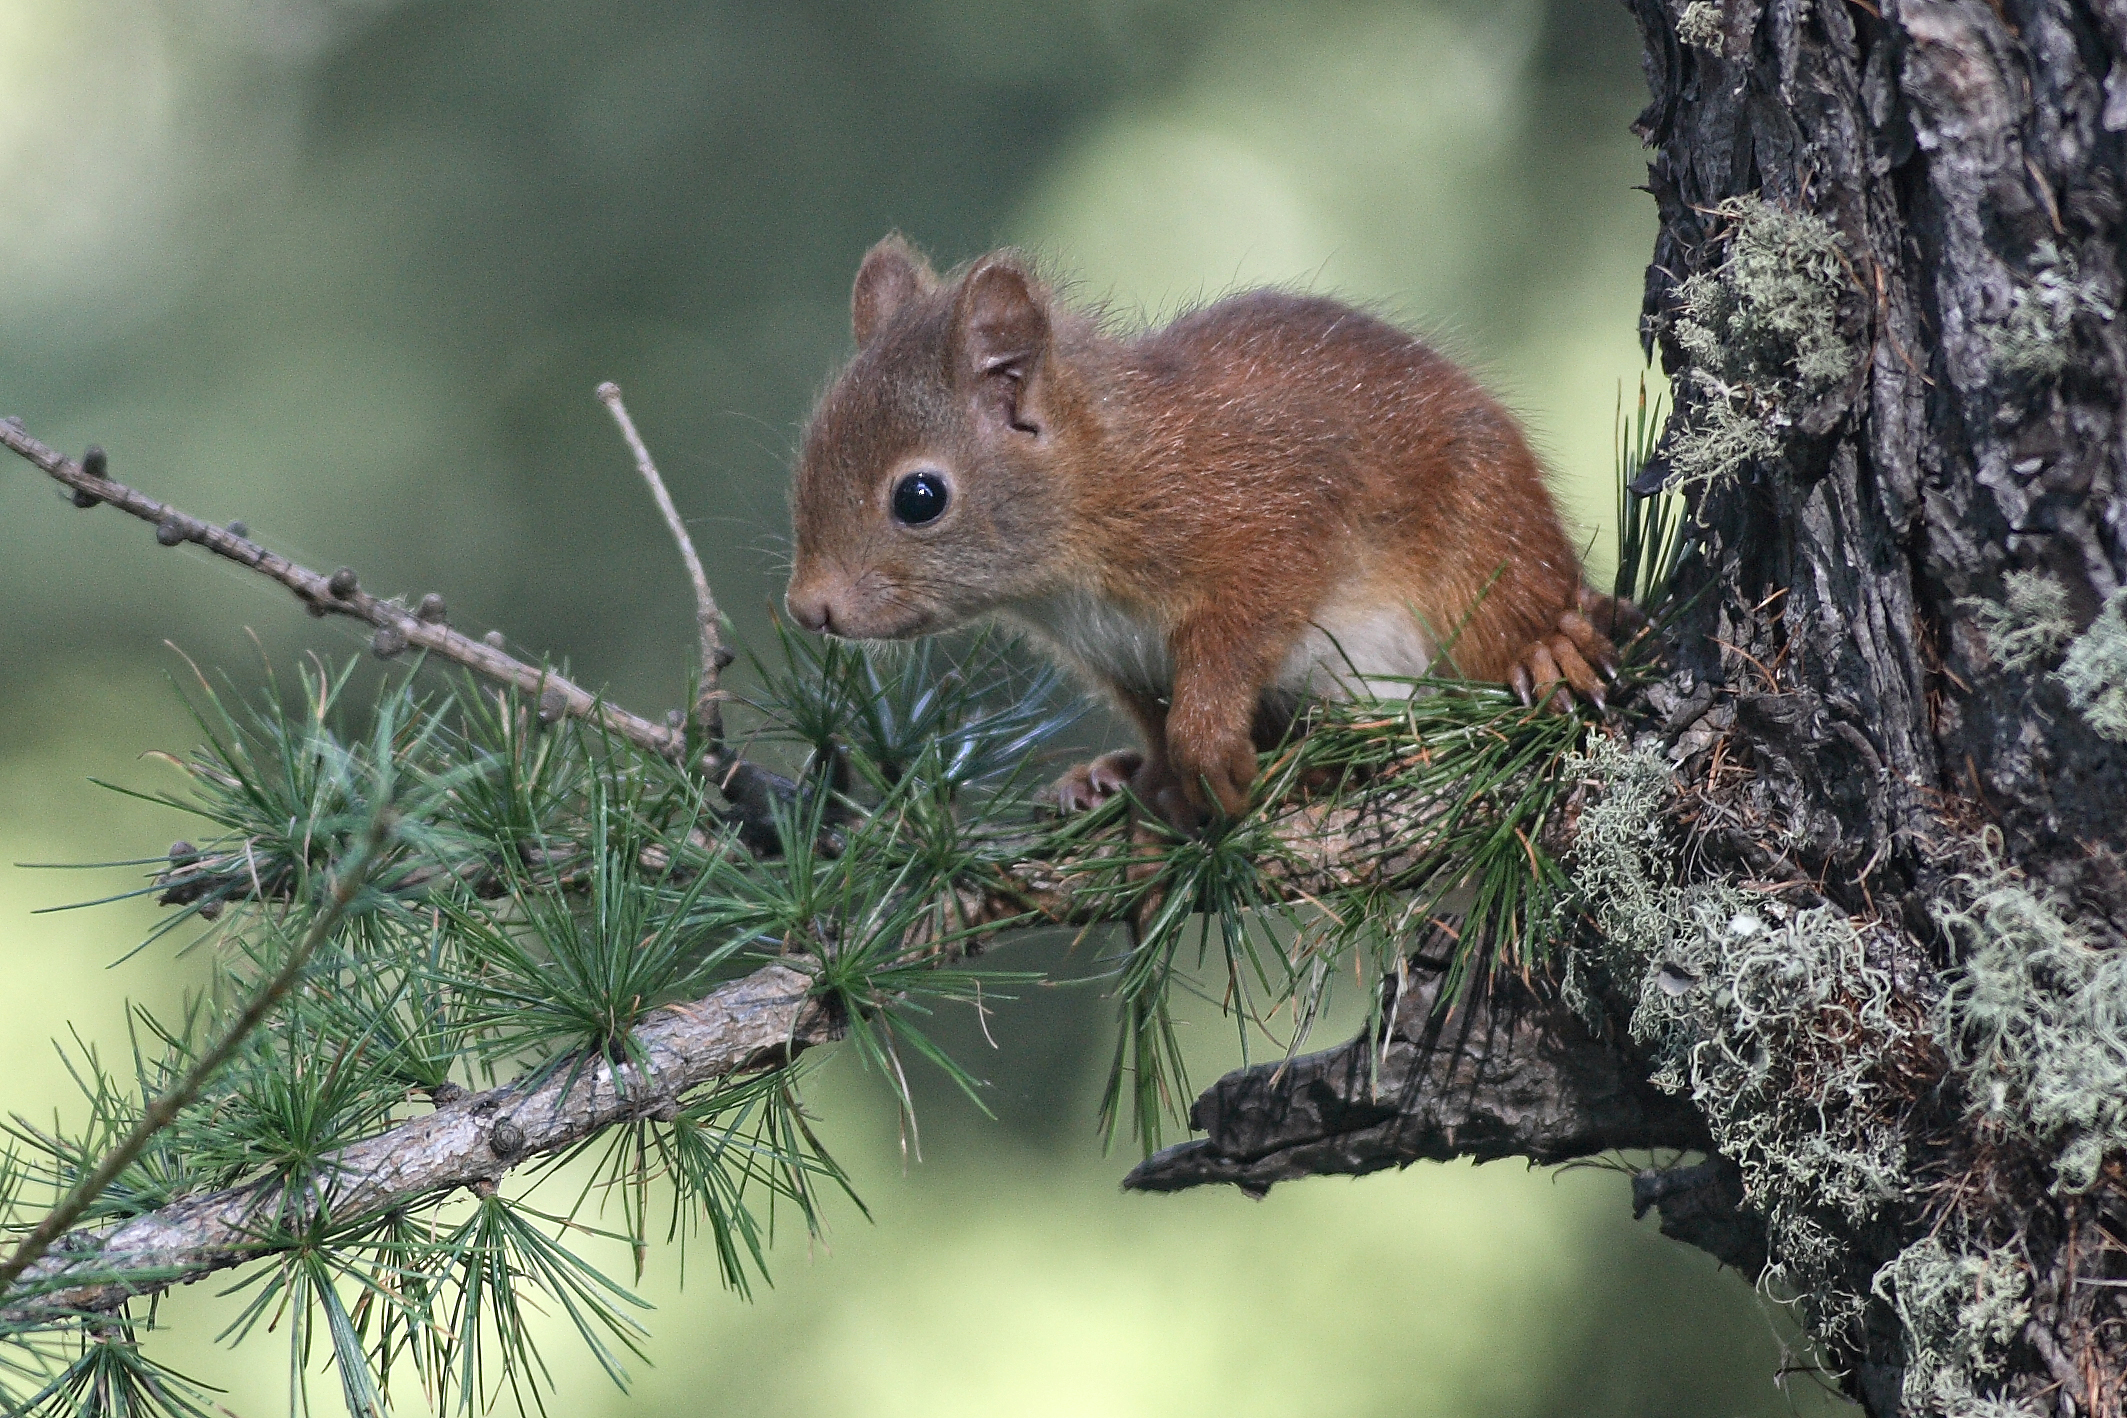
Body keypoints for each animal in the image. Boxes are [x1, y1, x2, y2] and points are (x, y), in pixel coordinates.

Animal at [785, 235, 1623, 827]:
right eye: (807, 455)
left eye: (919, 497)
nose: (806, 609)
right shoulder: (1122, 659)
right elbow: (1152, 723)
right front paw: (1141, 776)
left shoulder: (1260, 516)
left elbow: (1236, 636)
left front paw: (1207, 742)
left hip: (1479, 530)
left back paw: (1541, 649)